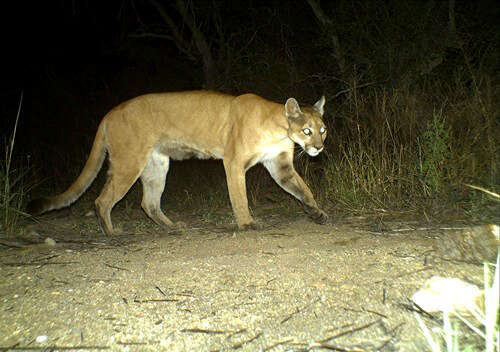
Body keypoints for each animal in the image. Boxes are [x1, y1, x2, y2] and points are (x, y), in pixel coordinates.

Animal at [29, 91, 330, 235]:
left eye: (323, 130)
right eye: (307, 131)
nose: (319, 147)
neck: (277, 128)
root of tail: (109, 113)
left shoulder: (280, 165)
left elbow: (303, 189)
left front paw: (316, 213)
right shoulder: (233, 162)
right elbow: (239, 196)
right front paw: (246, 223)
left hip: (157, 166)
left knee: (148, 202)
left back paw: (172, 227)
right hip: (129, 162)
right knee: (103, 200)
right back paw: (112, 232)